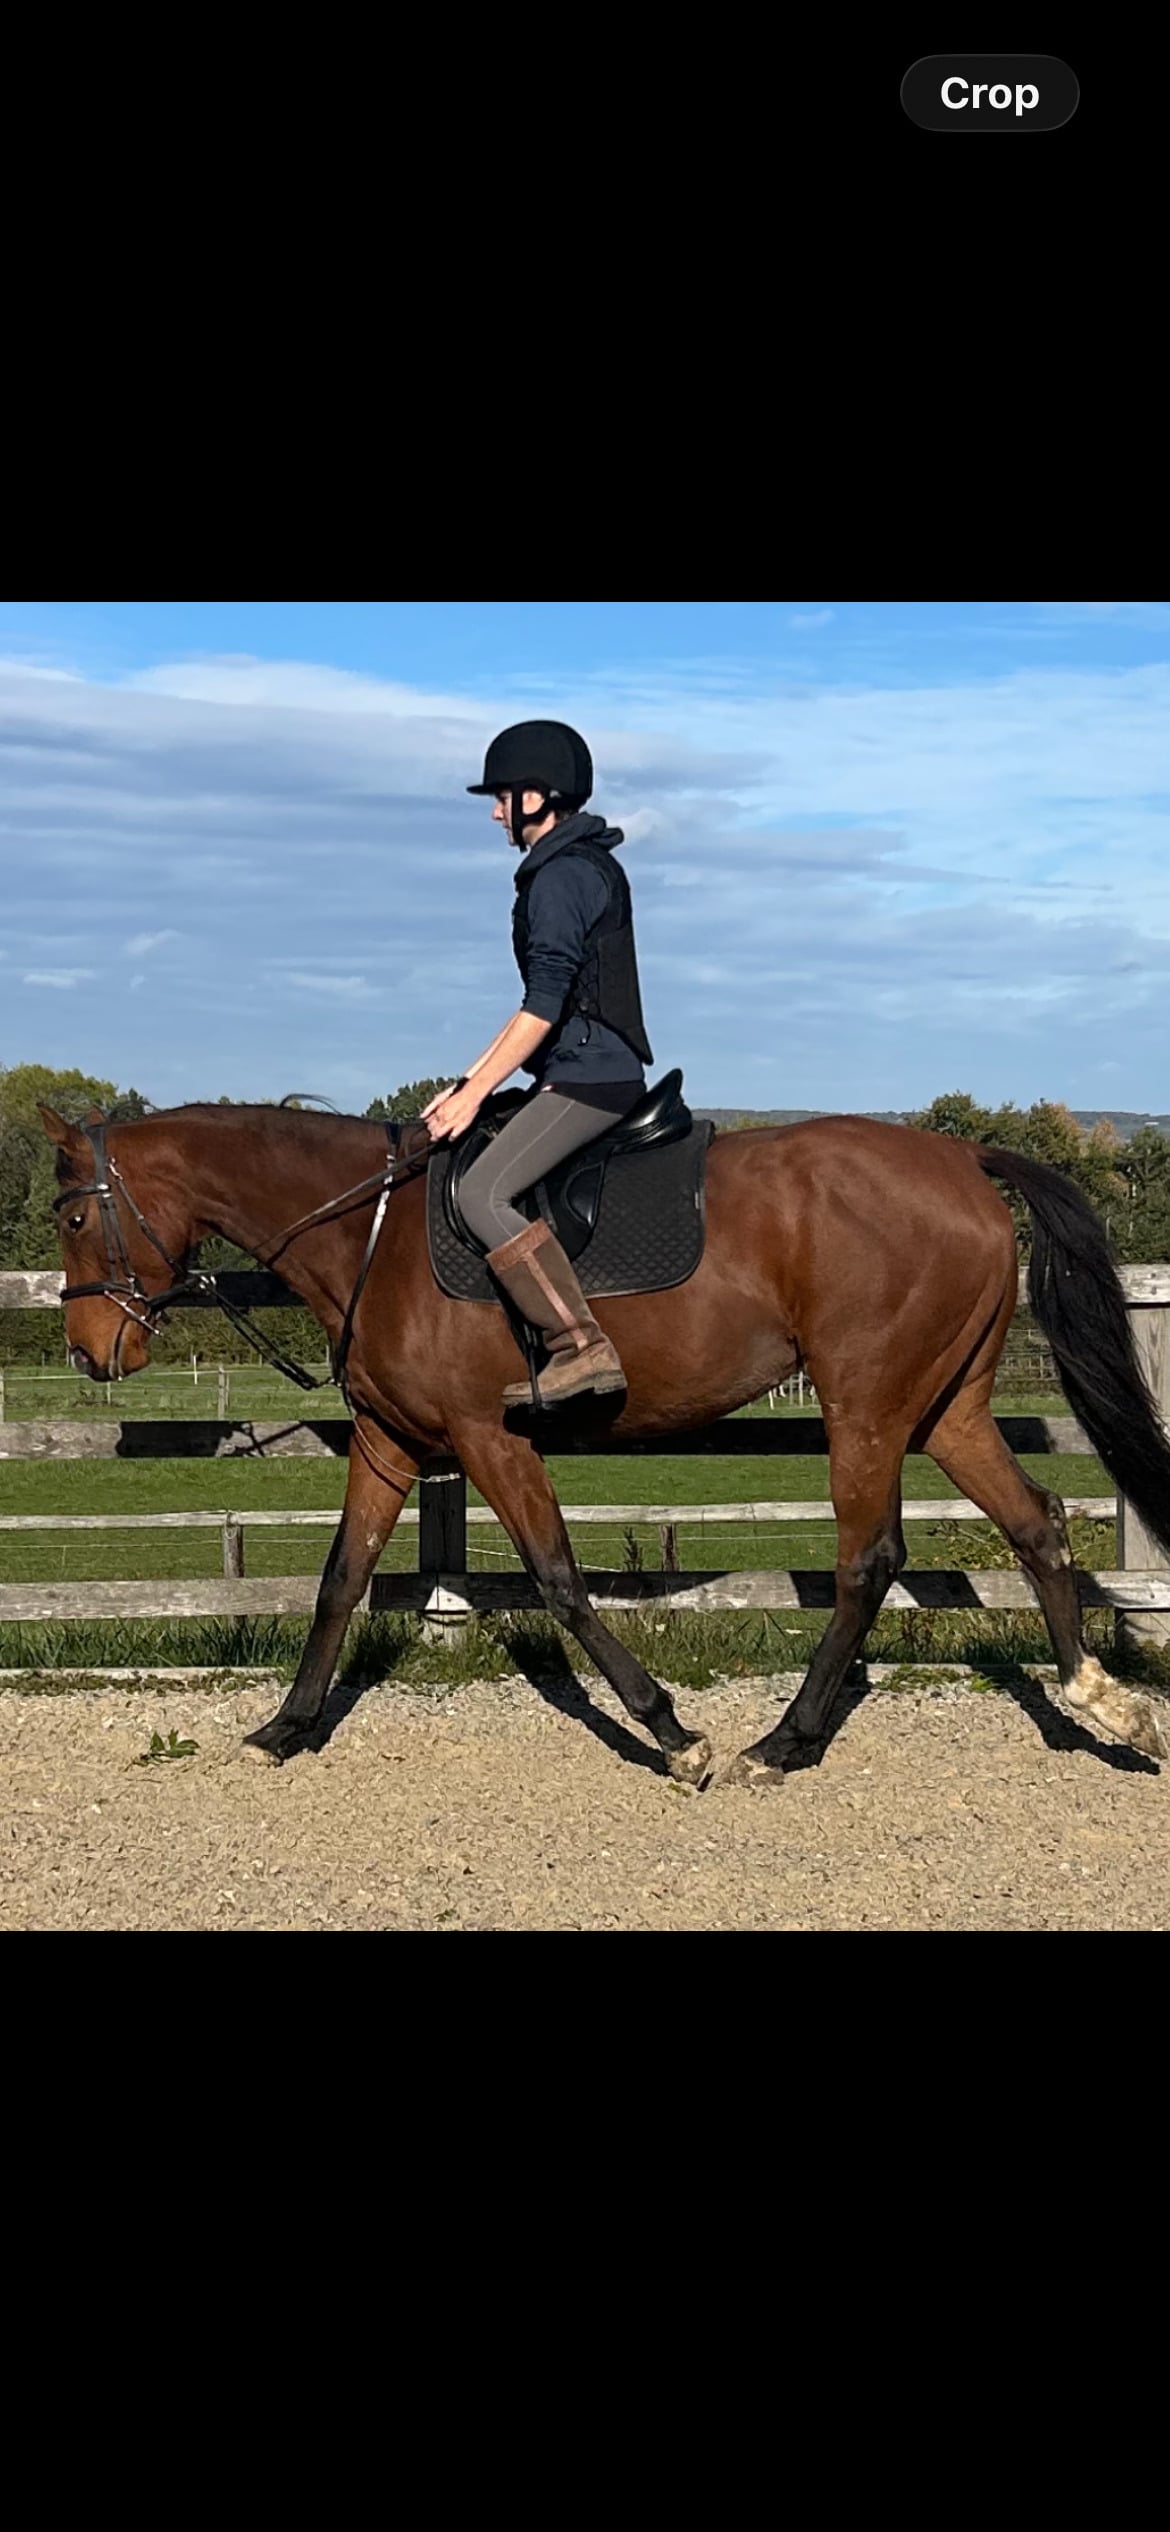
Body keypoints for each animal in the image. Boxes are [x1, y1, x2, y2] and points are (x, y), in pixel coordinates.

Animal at [38, 1094, 1170, 1786]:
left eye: (74, 1221)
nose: (93, 1351)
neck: (369, 1234)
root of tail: (962, 1155)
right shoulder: (390, 1442)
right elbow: (340, 1580)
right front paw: (284, 1728)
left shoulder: (486, 1437)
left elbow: (559, 1579)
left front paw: (671, 1733)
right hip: (948, 1408)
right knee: (1036, 1523)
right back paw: (1101, 1705)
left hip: (869, 1408)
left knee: (868, 1560)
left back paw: (783, 1742)